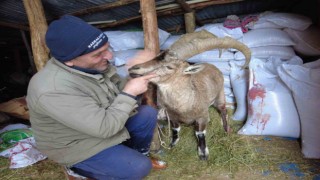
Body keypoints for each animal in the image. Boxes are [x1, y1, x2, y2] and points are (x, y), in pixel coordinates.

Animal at [129, 29, 251, 160]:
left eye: (169, 67)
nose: (133, 69)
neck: (185, 103)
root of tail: (211, 65)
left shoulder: (202, 116)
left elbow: (200, 134)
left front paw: (203, 154)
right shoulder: (172, 116)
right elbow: (176, 129)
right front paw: (173, 144)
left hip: (220, 95)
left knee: (223, 111)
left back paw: (226, 129)